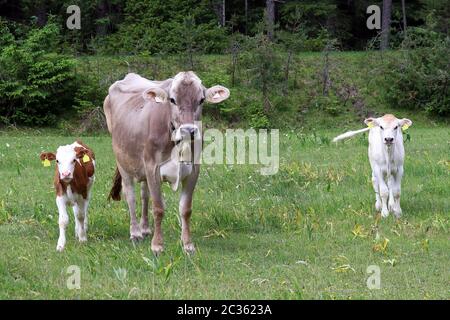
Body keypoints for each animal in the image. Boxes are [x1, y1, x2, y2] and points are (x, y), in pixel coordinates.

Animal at [104, 71, 230, 254]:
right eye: (172, 100)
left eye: (201, 100)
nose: (188, 130)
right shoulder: (153, 168)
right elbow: (158, 208)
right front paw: (157, 245)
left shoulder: (193, 171)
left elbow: (185, 209)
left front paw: (187, 245)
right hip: (123, 162)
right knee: (131, 196)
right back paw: (135, 233)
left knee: (144, 195)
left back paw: (145, 228)